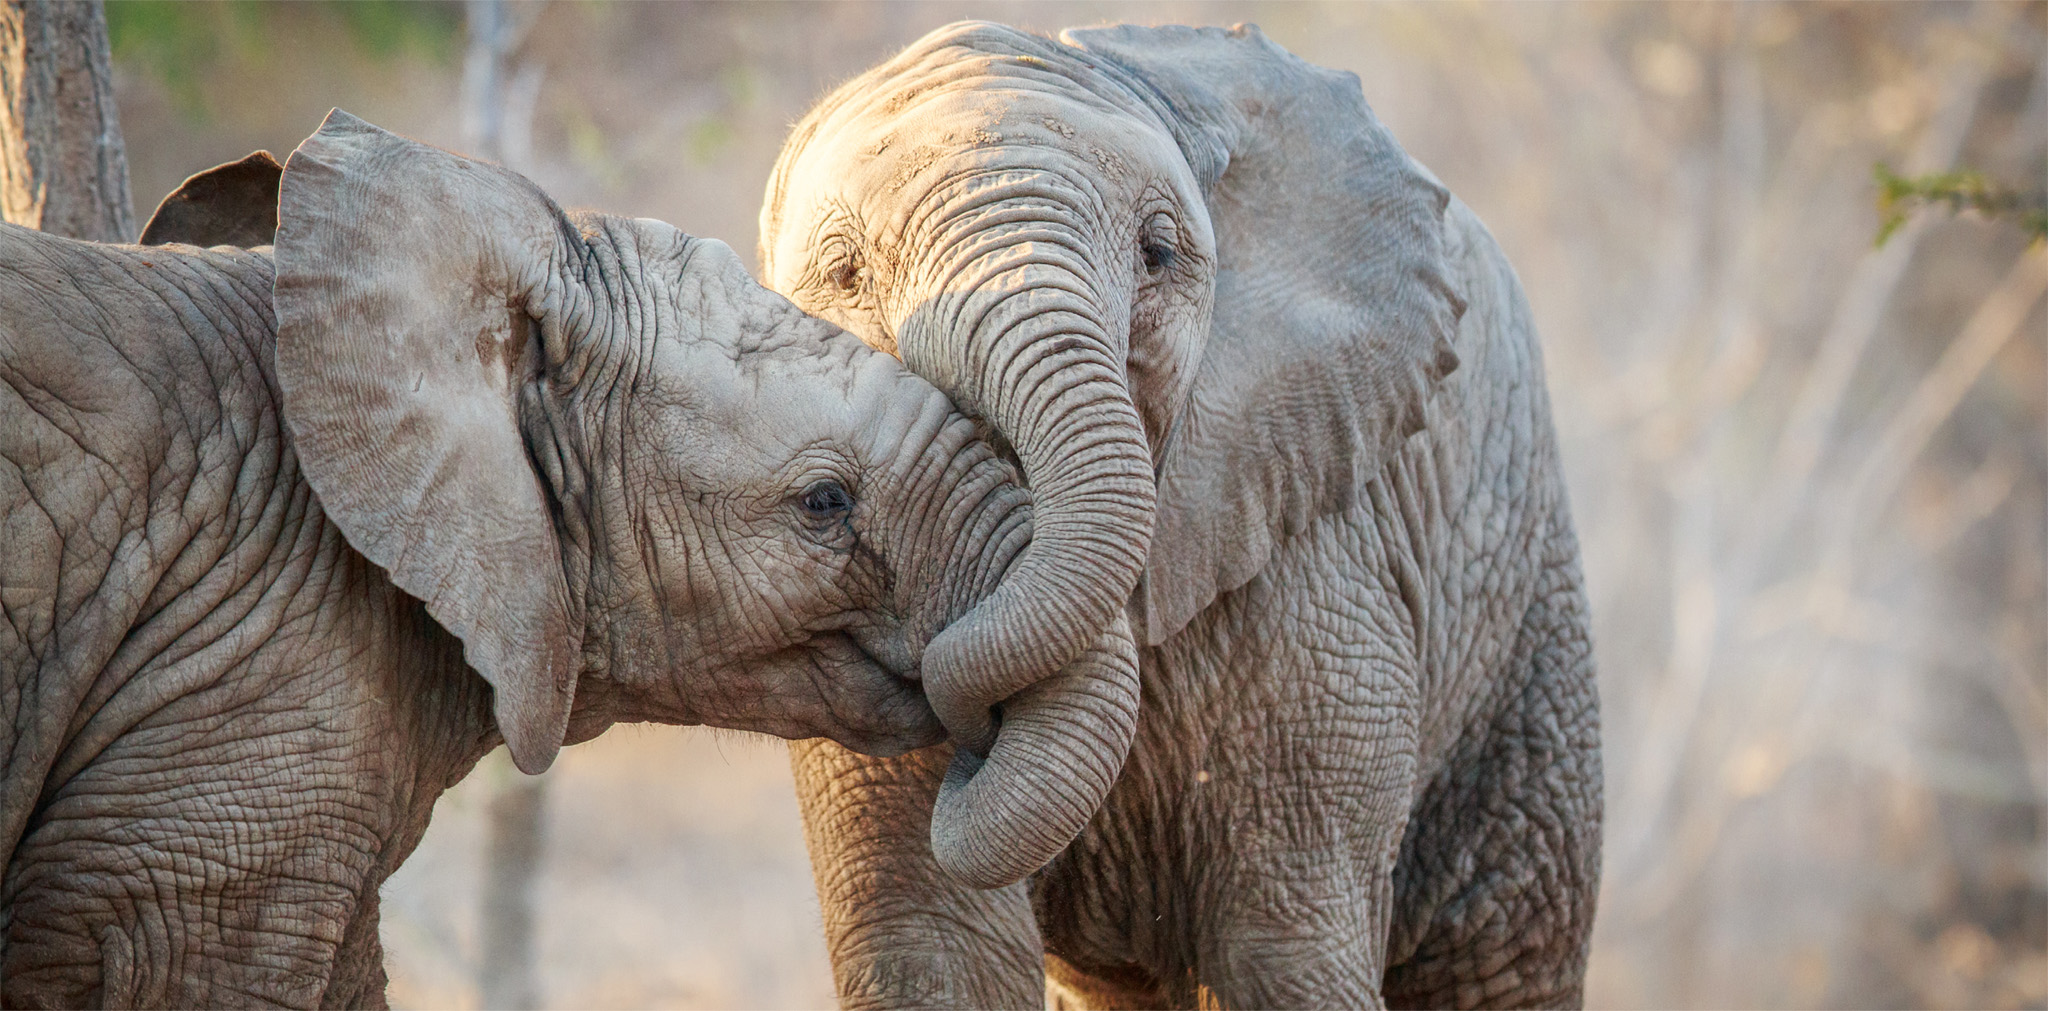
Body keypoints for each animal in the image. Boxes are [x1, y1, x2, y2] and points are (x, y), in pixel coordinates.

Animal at [761, 19, 1605, 1006]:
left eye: (1157, 254)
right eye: (844, 272)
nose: (972, 731)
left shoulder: (1321, 566)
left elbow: (1281, 950)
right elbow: (939, 947)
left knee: (1502, 949)